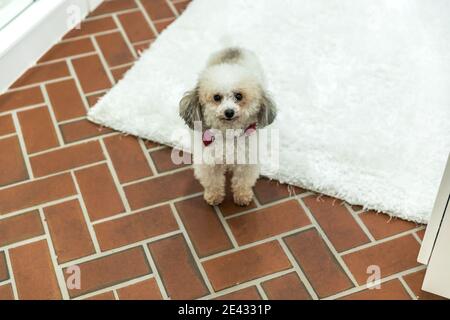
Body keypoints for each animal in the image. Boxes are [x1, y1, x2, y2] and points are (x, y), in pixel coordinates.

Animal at [178, 47, 276, 208]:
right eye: (217, 97)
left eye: (239, 96)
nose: (229, 112)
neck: (228, 135)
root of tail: (233, 47)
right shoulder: (208, 162)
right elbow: (213, 182)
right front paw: (214, 196)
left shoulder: (247, 161)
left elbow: (242, 181)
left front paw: (242, 196)